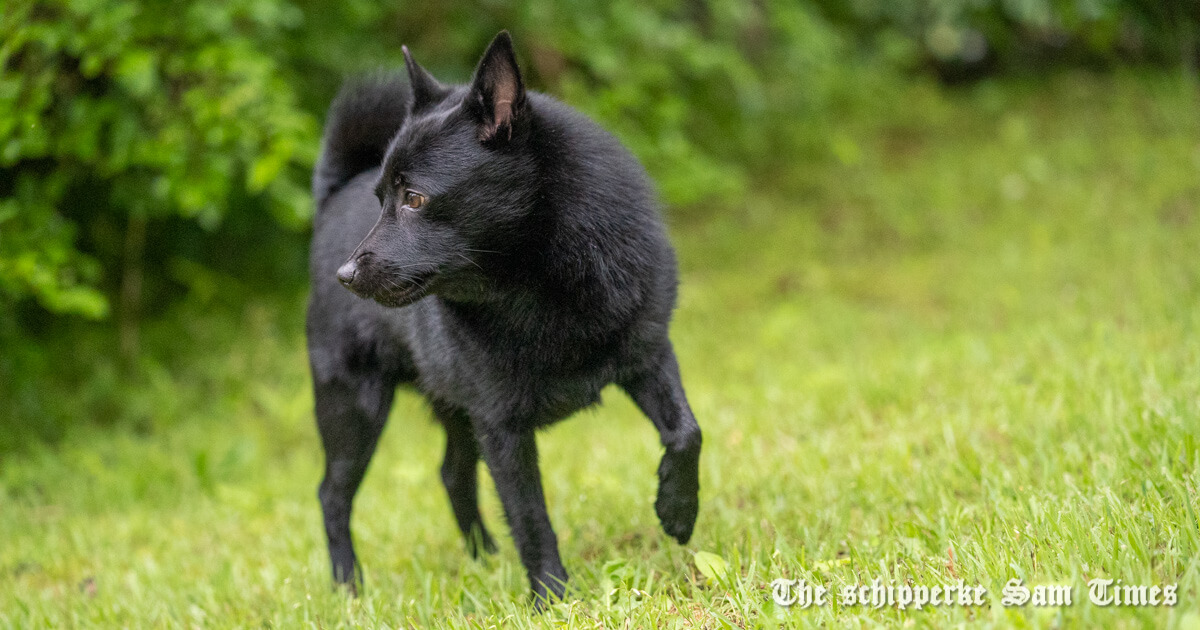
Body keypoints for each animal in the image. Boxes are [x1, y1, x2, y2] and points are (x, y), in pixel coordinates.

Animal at [307, 30, 700, 604]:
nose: (347, 275)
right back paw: (348, 589)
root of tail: (332, 198)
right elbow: (531, 517)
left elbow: (686, 433)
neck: (543, 281)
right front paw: (553, 598)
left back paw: (483, 559)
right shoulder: (501, 427)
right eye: (381, 200)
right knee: (332, 496)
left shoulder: (649, 357)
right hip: (354, 407)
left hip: (450, 406)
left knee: (451, 474)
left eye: (414, 198)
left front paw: (677, 510)